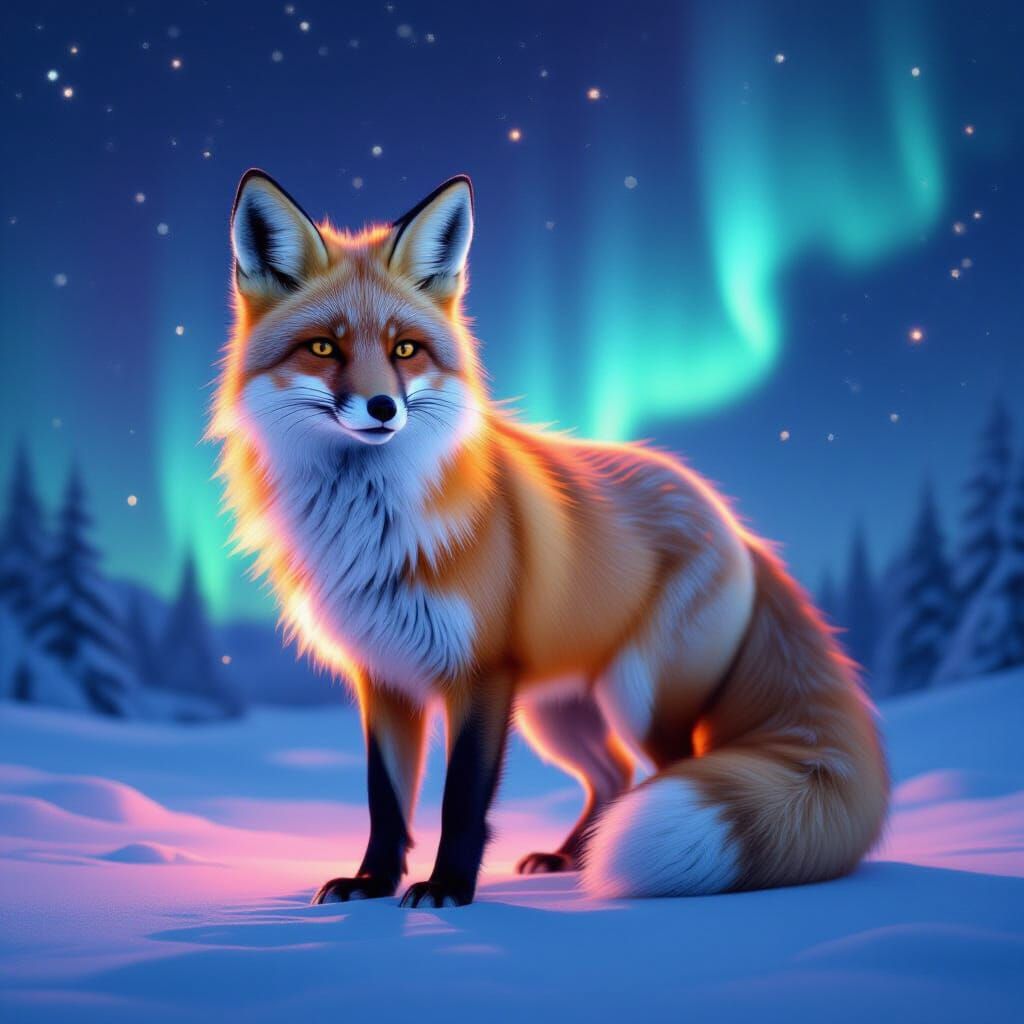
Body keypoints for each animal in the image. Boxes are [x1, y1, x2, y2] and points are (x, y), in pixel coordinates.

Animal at [210, 169, 889, 909]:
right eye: (324, 347)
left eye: (405, 350)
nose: (383, 408)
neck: (373, 529)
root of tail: (735, 523)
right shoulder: (384, 677)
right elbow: (384, 800)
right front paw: (372, 882)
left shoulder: (482, 673)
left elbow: (461, 800)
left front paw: (447, 889)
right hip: (561, 713)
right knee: (613, 774)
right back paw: (571, 856)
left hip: (639, 696)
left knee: (674, 766)